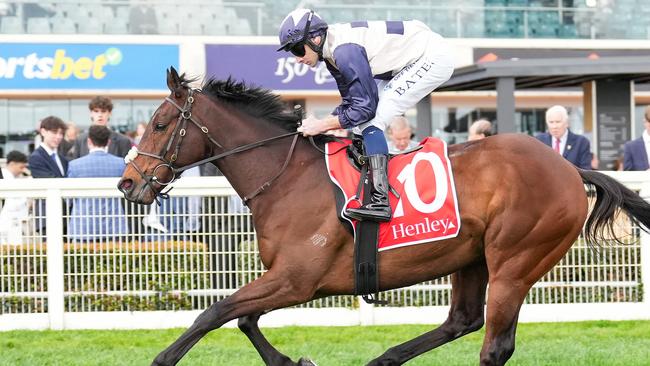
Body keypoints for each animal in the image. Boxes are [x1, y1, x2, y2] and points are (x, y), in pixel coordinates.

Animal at [116, 67, 648, 364]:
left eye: (159, 124)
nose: (127, 184)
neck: (288, 178)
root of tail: (569, 167)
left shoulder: (297, 280)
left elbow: (214, 312)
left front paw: (162, 359)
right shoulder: (287, 279)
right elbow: (242, 319)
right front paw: (293, 362)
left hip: (516, 260)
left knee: (494, 344)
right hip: (472, 257)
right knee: (462, 321)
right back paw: (384, 359)